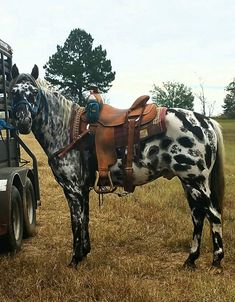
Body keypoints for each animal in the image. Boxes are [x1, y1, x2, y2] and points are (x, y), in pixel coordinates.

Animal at [10, 64, 225, 272]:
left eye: (34, 92)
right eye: (13, 92)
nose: (23, 122)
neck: (68, 130)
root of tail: (206, 122)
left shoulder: (73, 190)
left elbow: (76, 223)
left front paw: (75, 260)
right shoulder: (83, 189)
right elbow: (85, 219)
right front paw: (85, 253)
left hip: (196, 182)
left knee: (213, 215)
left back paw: (216, 263)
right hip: (189, 183)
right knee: (198, 216)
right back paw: (190, 260)